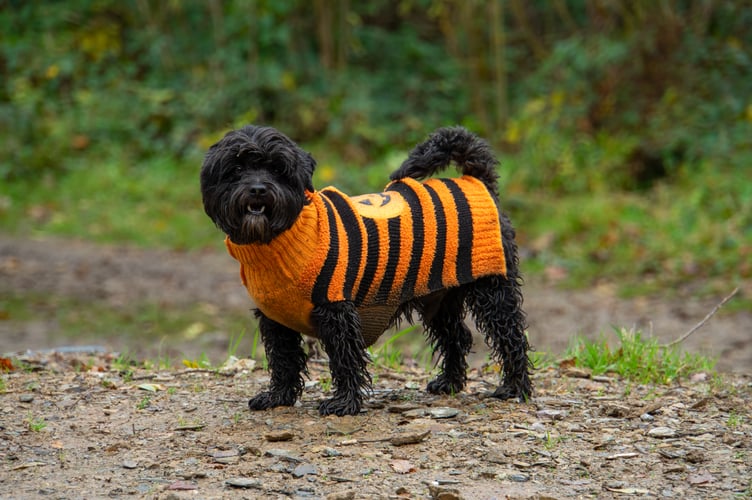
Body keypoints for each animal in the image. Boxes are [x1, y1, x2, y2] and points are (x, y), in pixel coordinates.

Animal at [198, 125, 528, 414]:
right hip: (439, 299)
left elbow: (344, 360)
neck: (281, 239)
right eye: (236, 169)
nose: (257, 188)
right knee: (457, 337)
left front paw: (344, 403)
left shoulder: (337, 312)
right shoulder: (275, 319)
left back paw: (515, 387)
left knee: (511, 337)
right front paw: (278, 396)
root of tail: (477, 181)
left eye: (278, 169)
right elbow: (283, 361)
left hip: (493, 293)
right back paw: (449, 383)